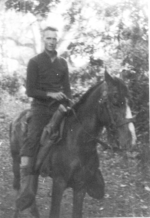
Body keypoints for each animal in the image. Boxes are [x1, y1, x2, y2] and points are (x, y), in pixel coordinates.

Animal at [9, 70, 136, 217]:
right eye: (115, 100)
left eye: (129, 101)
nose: (130, 140)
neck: (77, 143)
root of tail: (17, 119)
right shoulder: (59, 183)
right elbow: (54, 213)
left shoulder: (80, 187)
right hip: (16, 160)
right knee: (18, 186)